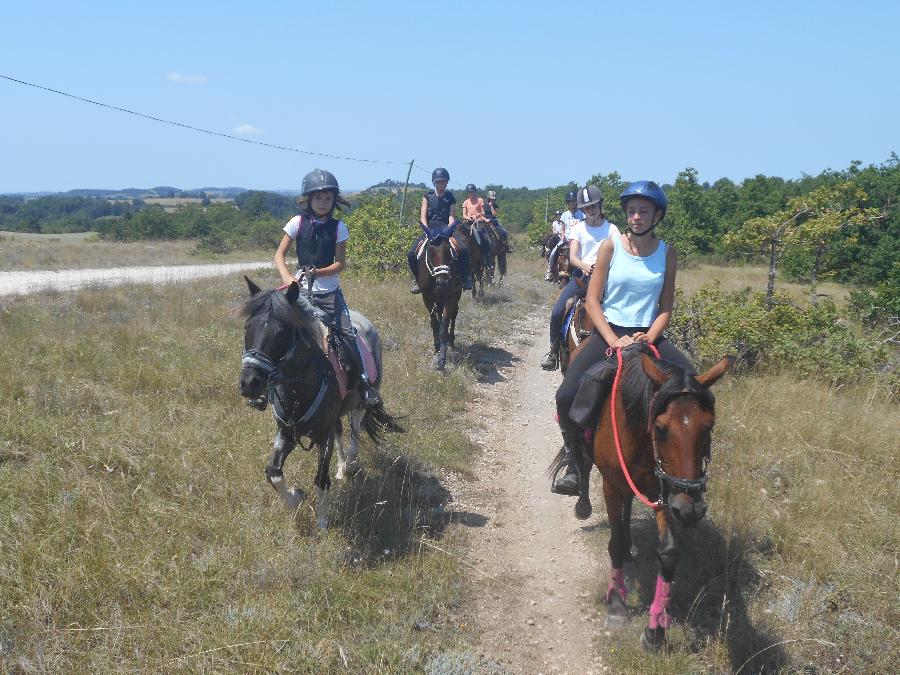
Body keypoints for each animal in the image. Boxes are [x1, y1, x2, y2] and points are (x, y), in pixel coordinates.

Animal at [241, 278, 406, 532]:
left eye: (282, 331)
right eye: (247, 327)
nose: (249, 383)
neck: (299, 387)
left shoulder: (322, 435)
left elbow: (320, 479)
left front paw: (322, 523)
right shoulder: (286, 432)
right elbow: (274, 473)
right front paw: (296, 497)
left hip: (360, 404)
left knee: (354, 432)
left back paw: (350, 464)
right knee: (341, 431)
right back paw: (341, 467)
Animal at [416, 224, 464, 370]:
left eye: (449, 251)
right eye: (430, 251)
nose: (443, 282)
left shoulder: (449, 298)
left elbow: (444, 326)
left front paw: (442, 359)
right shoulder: (427, 298)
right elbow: (435, 324)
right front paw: (437, 348)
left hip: (456, 296)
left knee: (453, 315)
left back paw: (451, 340)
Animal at [548, 346, 732, 652]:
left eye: (709, 426)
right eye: (660, 428)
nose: (691, 509)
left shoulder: (666, 492)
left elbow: (668, 553)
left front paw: (655, 630)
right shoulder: (611, 485)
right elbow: (614, 542)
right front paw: (617, 606)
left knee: (629, 504)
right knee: (581, 460)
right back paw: (581, 502)